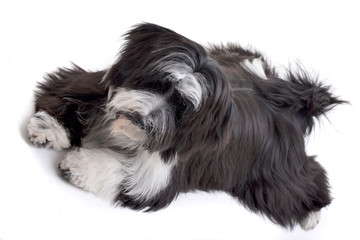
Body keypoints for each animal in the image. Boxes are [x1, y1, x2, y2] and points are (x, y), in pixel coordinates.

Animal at [28, 23, 344, 231]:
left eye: (182, 107)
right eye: (158, 83)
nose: (143, 121)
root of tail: (293, 104)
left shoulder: (159, 174)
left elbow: (124, 174)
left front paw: (79, 165)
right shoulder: (91, 87)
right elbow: (64, 92)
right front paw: (49, 129)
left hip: (276, 175)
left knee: (306, 181)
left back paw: (310, 215)